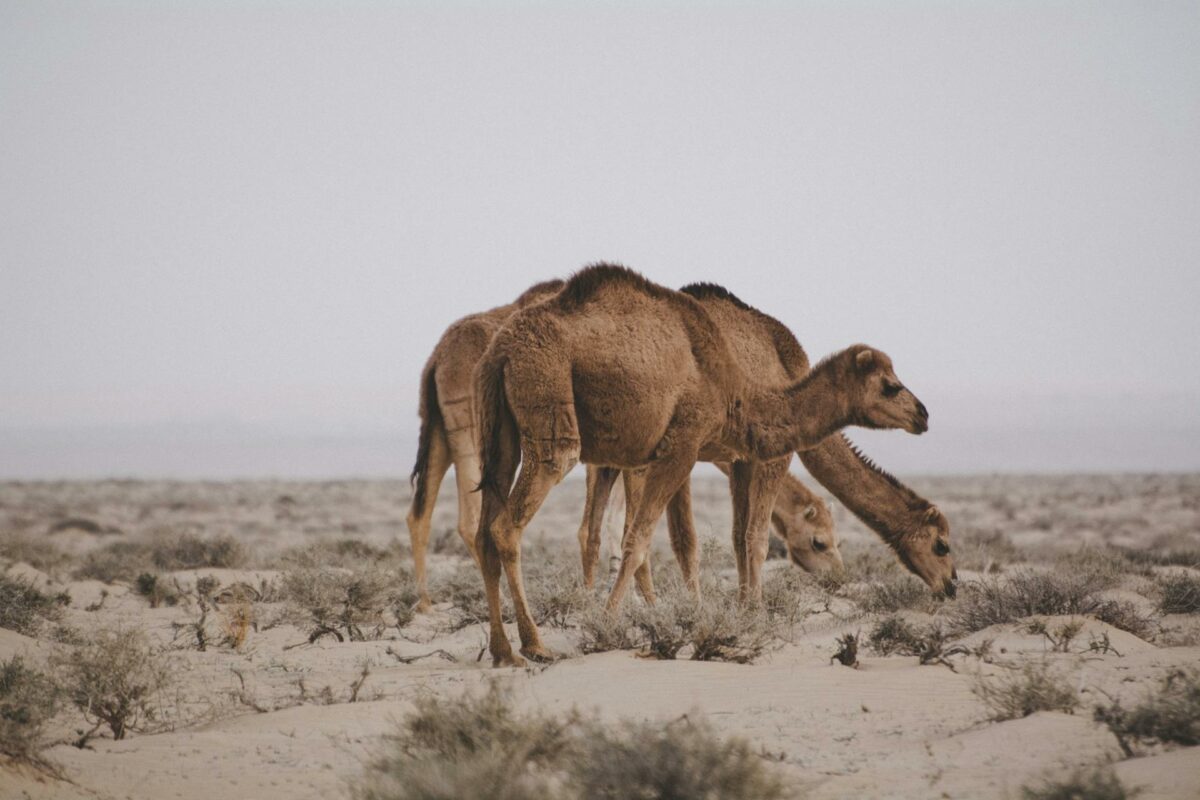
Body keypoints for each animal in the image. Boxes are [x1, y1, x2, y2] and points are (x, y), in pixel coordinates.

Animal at [405, 278, 564, 609]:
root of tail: (436, 360)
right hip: (470, 429)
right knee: (468, 520)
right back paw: (500, 601)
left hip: (439, 428)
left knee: (419, 514)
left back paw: (425, 602)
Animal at [472, 266, 931, 666]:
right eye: (890, 386)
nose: (922, 415)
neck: (735, 389)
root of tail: (500, 349)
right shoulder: (682, 445)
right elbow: (641, 541)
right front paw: (607, 624)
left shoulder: (687, 454)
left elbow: (675, 539)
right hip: (547, 394)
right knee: (509, 524)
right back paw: (535, 645)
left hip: (499, 430)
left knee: (483, 532)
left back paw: (502, 651)